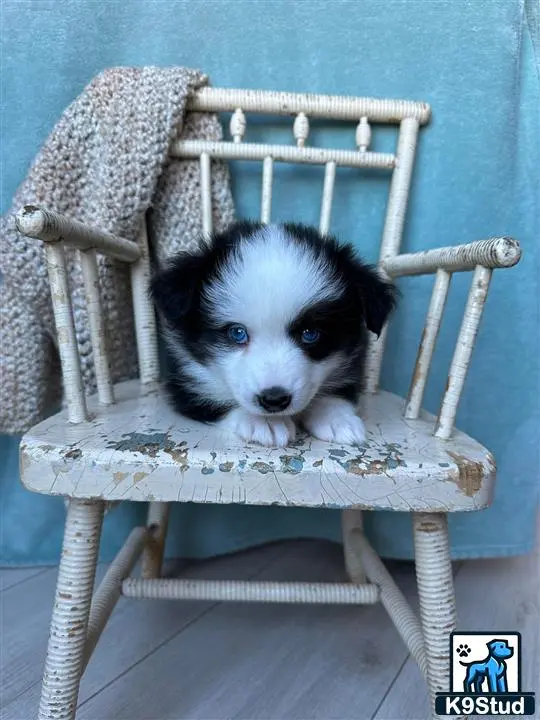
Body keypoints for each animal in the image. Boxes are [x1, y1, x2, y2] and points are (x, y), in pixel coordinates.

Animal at [151, 221, 396, 444]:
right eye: (237, 333)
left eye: (310, 333)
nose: (274, 399)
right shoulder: (185, 379)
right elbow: (209, 398)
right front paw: (263, 422)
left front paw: (336, 418)